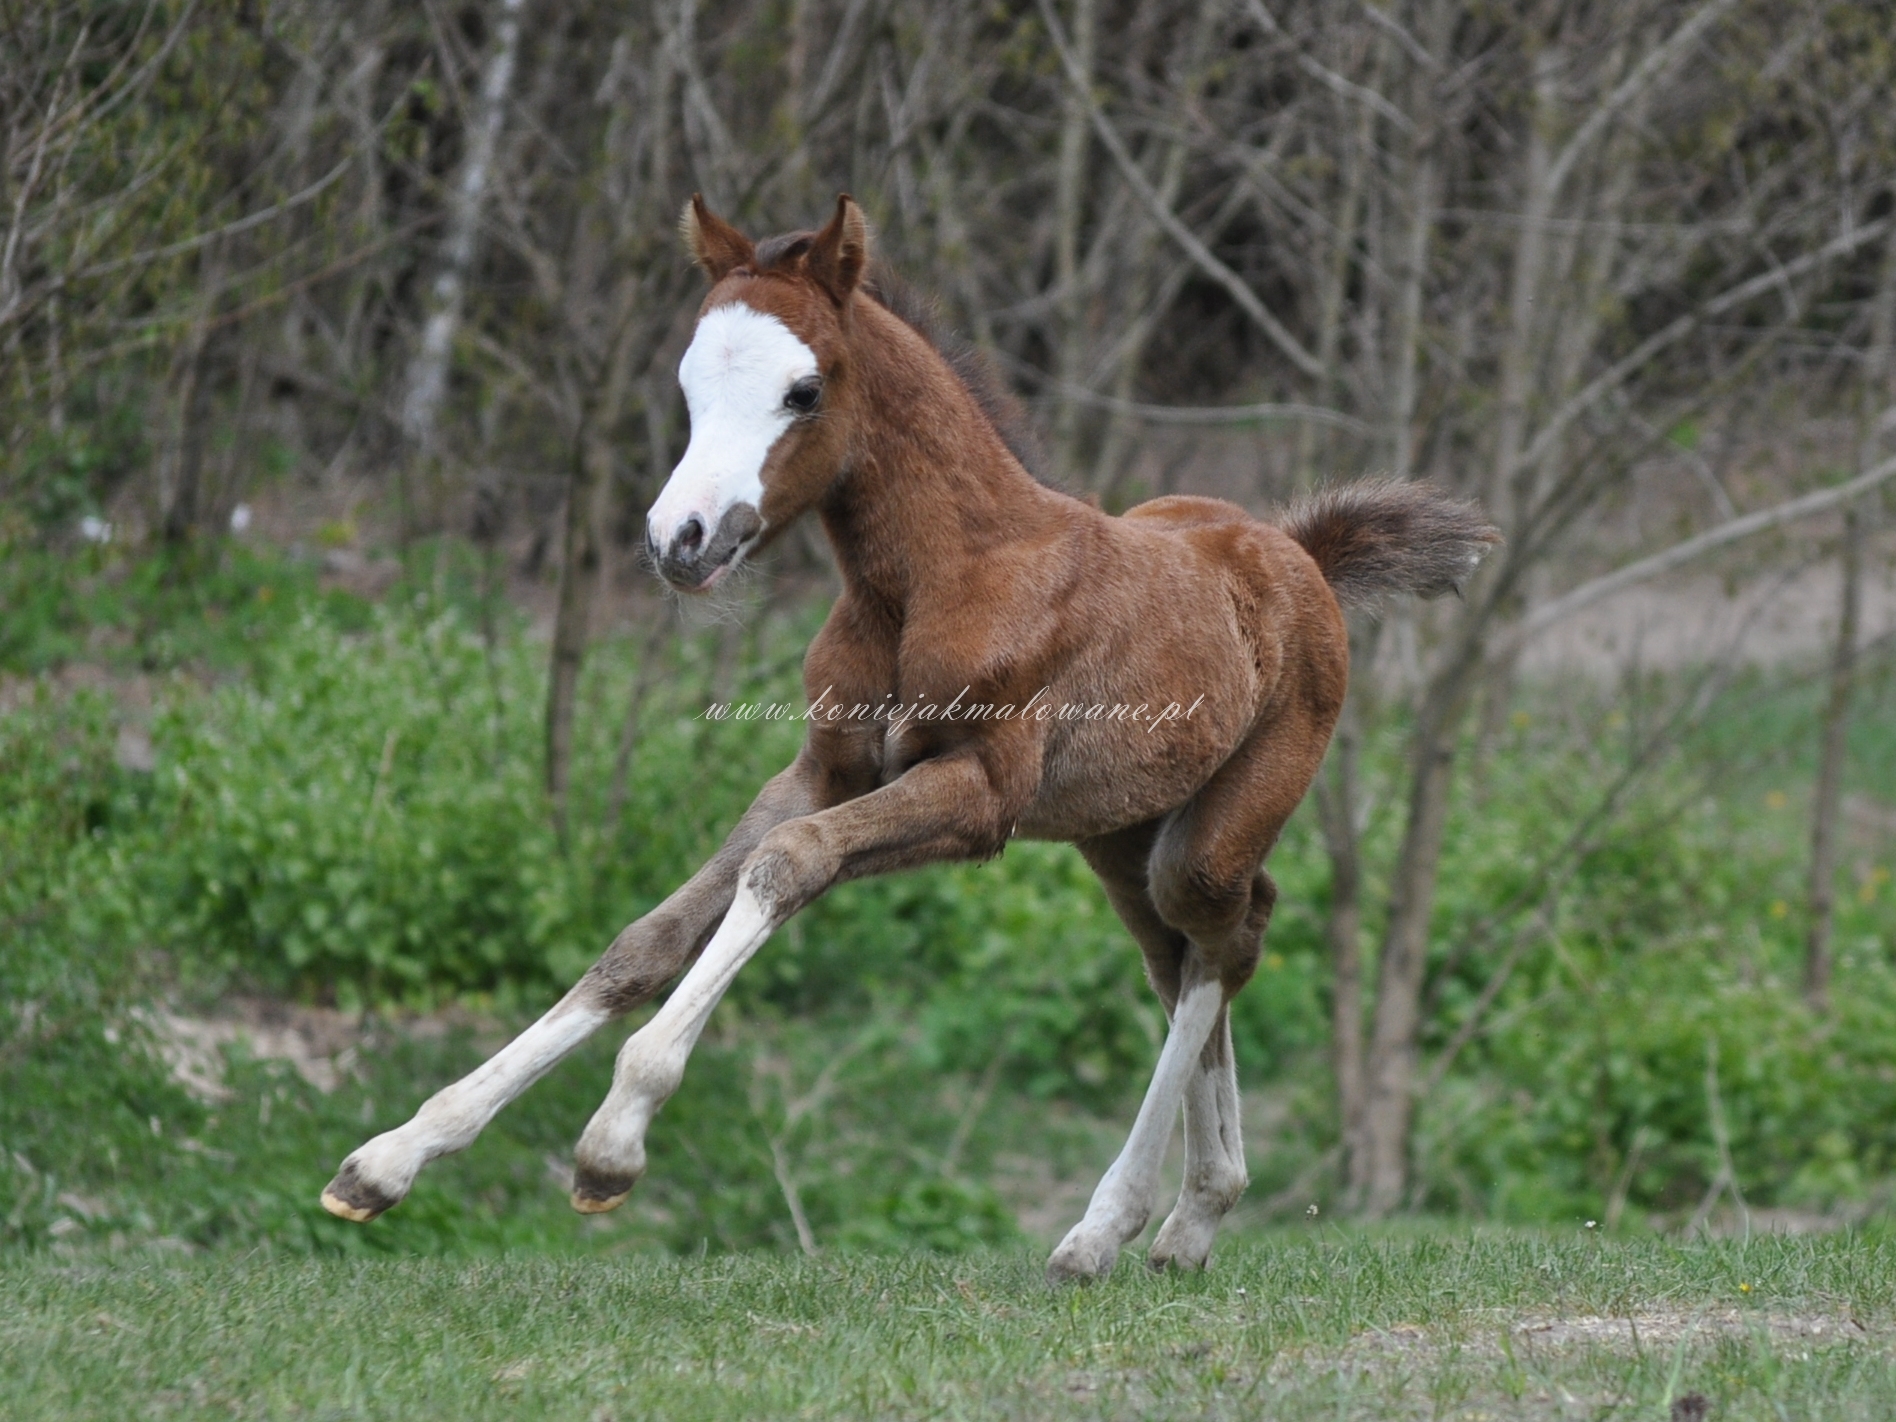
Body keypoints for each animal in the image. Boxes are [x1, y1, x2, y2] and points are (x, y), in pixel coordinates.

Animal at [326, 192, 1494, 1281]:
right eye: (689, 385)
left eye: (804, 391)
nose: (679, 540)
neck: (934, 579)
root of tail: (1297, 553)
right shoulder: (821, 767)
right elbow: (650, 936)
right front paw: (391, 1158)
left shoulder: (976, 799)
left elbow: (786, 865)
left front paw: (613, 1142)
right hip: (1118, 837)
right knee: (1184, 957)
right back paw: (1188, 1220)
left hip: (1210, 832)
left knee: (1227, 940)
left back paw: (1110, 1228)